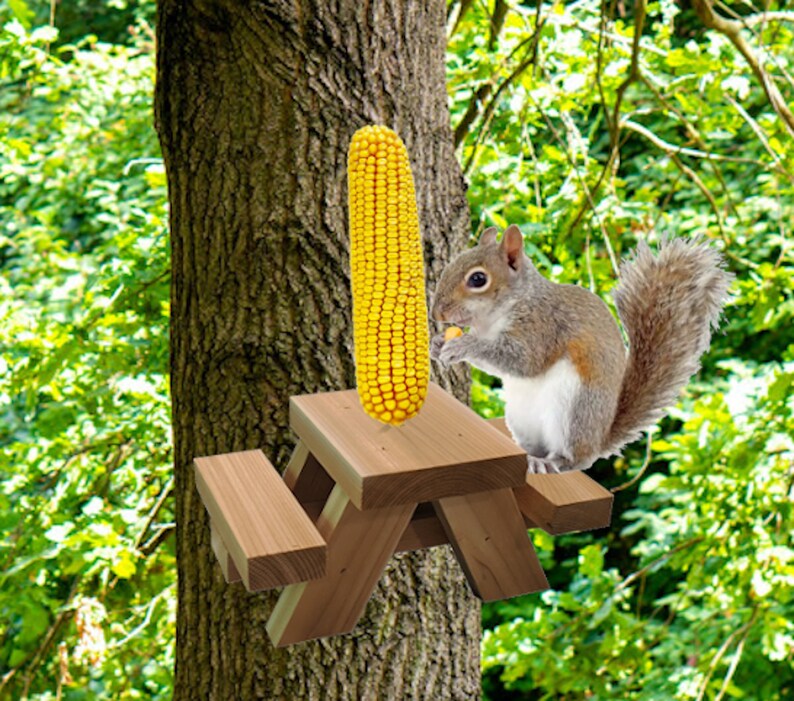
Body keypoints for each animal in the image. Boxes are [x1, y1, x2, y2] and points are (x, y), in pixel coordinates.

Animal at [429, 224, 732, 474]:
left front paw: (465, 345)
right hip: (521, 417)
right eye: (451, 264)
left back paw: (551, 463)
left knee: (578, 459)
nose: (437, 313)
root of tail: (599, 439)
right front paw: (437, 344)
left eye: (478, 279)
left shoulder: (544, 328)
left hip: (574, 410)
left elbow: (524, 360)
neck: (494, 317)